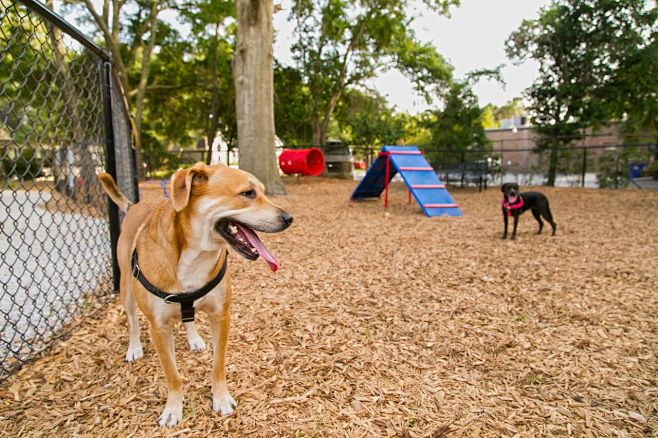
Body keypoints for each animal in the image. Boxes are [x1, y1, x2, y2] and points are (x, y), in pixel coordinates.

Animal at [98, 163, 290, 426]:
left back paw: (194, 338)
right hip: (126, 288)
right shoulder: (159, 328)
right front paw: (173, 408)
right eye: (248, 193)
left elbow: (218, 365)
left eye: (261, 191)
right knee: (132, 320)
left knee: (187, 315)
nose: (289, 218)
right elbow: (172, 374)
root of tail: (134, 206)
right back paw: (134, 347)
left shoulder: (221, 315)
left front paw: (220, 398)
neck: (195, 256)